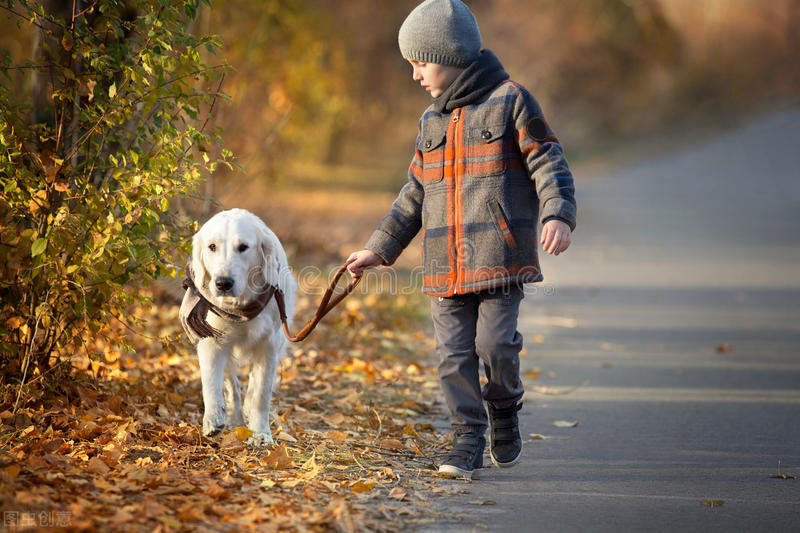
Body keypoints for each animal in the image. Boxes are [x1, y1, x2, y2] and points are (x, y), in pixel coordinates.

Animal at [179, 208, 296, 444]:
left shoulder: (269, 346)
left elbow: (260, 393)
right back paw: (233, 417)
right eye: (212, 246)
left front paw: (260, 433)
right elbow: (210, 382)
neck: (240, 305)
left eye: (243, 247)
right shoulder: (211, 339)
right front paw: (213, 419)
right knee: (231, 383)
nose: (223, 283)